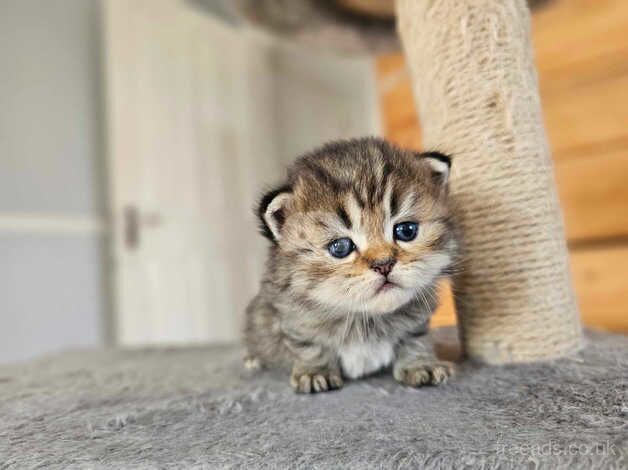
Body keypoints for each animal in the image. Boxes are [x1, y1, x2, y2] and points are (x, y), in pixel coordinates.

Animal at [244, 137, 456, 392]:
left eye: (406, 231)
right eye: (340, 247)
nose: (384, 264)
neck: (364, 317)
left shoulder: (417, 318)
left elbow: (416, 337)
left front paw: (420, 364)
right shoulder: (290, 314)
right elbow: (308, 345)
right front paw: (316, 371)